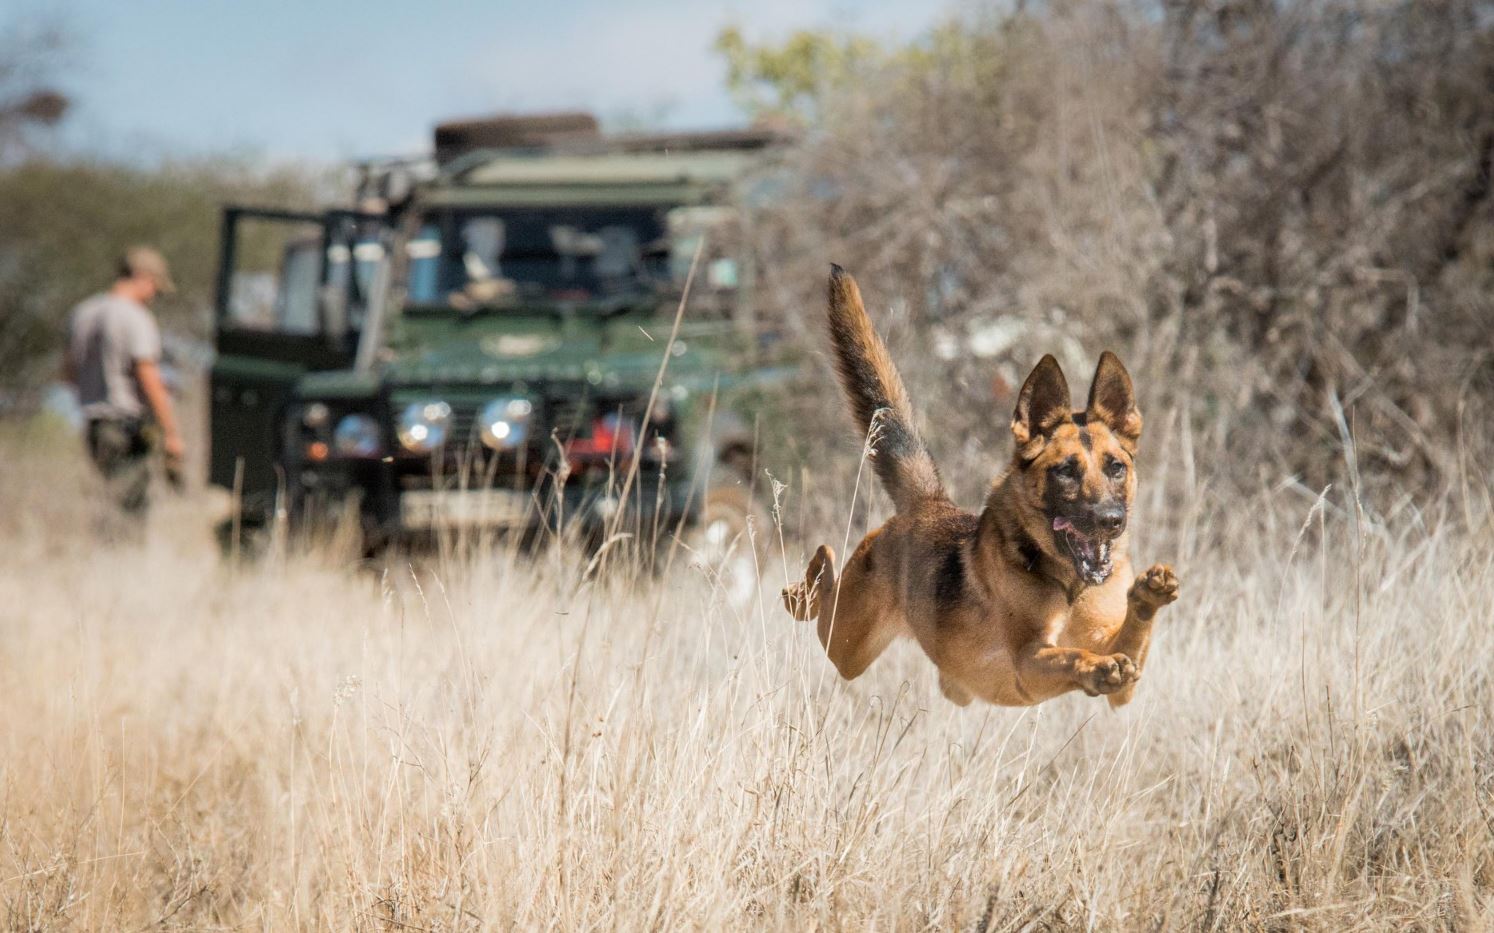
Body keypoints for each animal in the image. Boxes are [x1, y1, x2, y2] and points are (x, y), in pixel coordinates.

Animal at [783, 267, 1178, 707]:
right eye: (1065, 471)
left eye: (1116, 468)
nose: (1111, 520)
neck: (1068, 583)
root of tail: (928, 503)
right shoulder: (1027, 663)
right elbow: (1071, 655)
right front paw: (1096, 666)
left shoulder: (1121, 686)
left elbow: (1127, 645)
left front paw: (1147, 597)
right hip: (846, 644)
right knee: (823, 587)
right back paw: (808, 581)